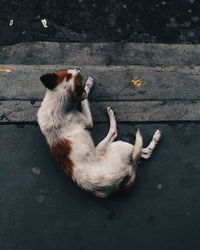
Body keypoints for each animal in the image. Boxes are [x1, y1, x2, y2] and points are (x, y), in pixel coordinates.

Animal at [37, 68, 161, 197]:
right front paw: (89, 84)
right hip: (118, 146)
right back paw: (155, 136)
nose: (78, 69)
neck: (56, 106)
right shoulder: (87, 121)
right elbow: (84, 99)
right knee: (141, 150)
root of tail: (121, 183)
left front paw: (89, 83)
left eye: (68, 72)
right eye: (76, 77)